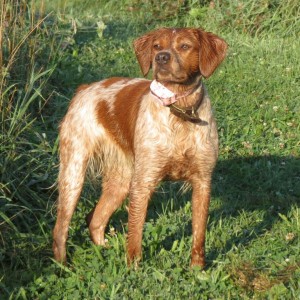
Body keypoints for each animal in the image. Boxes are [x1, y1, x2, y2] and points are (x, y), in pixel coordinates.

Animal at [53, 27, 227, 268]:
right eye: (156, 46)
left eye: (184, 46)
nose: (161, 57)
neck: (180, 113)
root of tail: (84, 88)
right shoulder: (143, 182)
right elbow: (135, 234)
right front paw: (134, 268)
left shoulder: (202, 182)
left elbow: (199, 236)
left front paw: (197, 269)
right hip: (74, 173)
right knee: (60, 228)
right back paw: (62, 266)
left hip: (121, 180)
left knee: (94, 219)